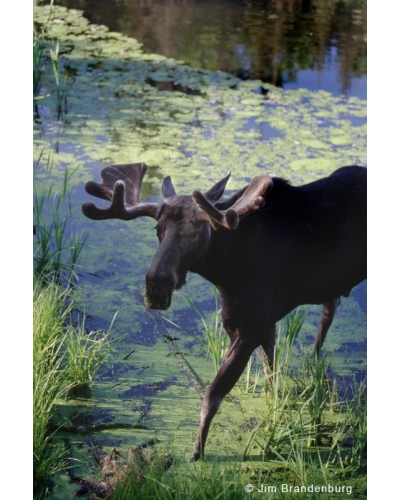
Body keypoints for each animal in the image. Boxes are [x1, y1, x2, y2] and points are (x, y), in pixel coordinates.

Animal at [83, 163, 368, 460]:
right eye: (157, 229)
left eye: (196, 232)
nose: (156, 287)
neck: (226, 272)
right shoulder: (252, 324)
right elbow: (271, 379)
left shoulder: (251, 328)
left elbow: (212, 397)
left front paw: (197, 453)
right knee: (331, 306)